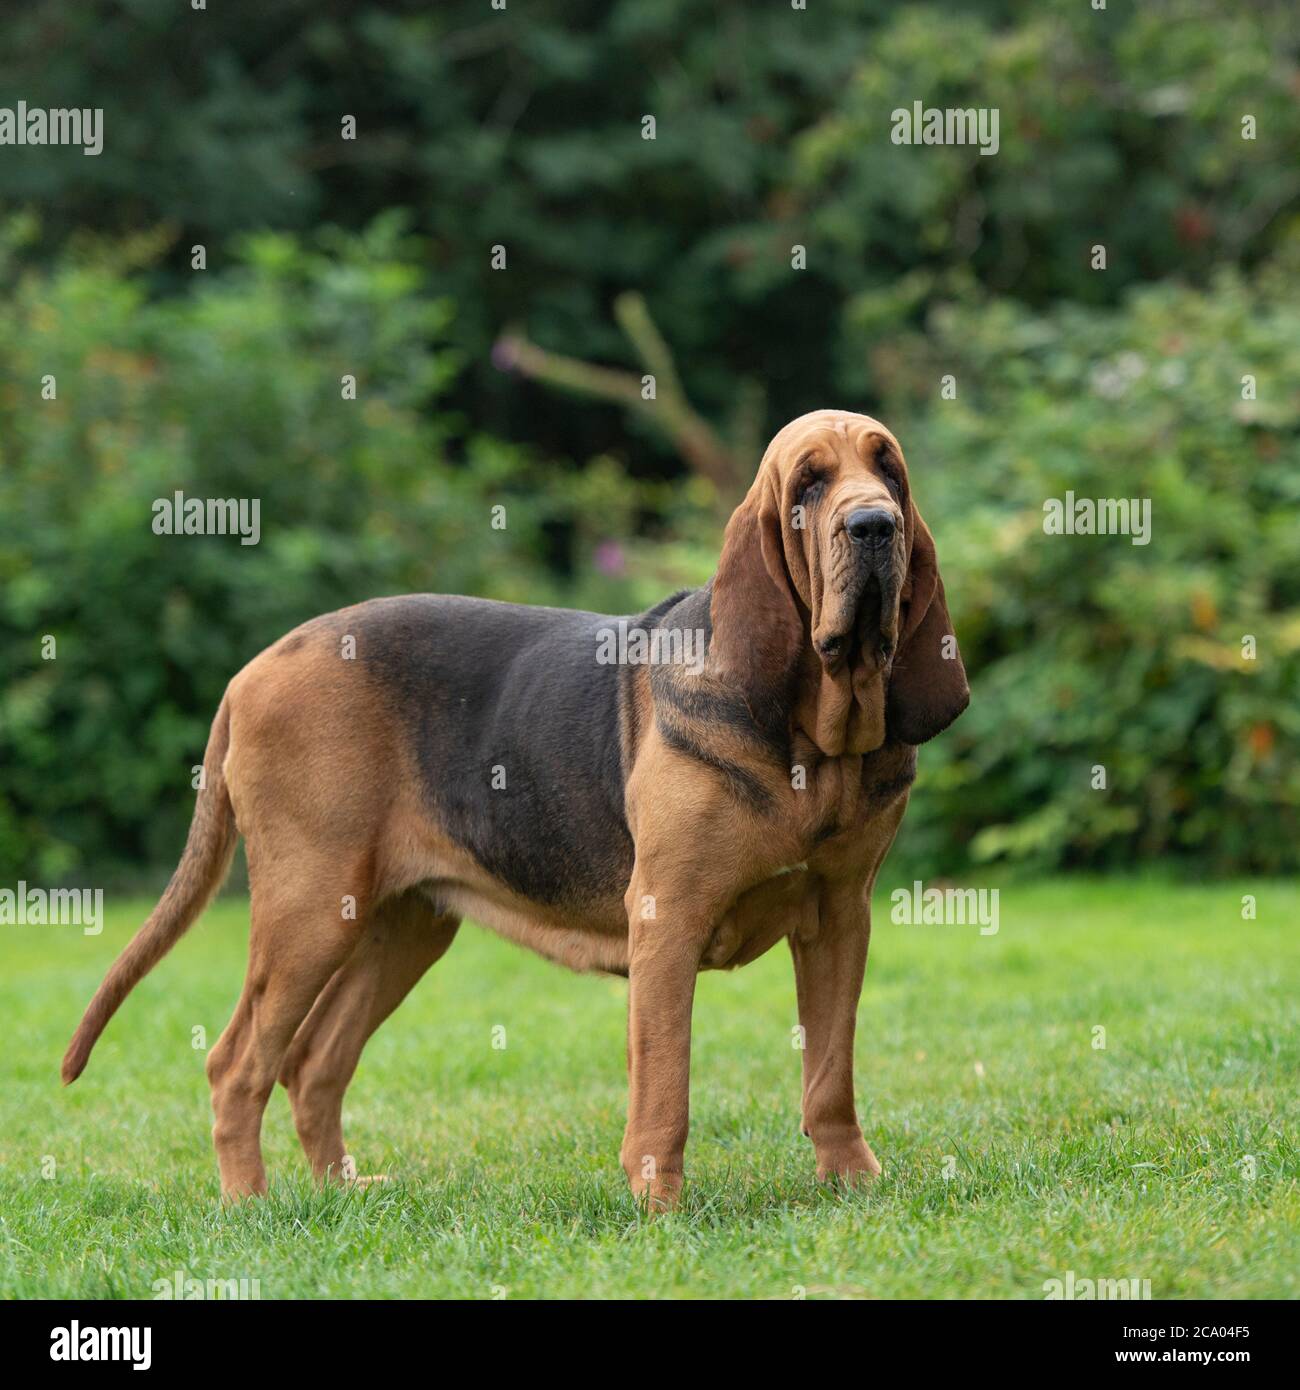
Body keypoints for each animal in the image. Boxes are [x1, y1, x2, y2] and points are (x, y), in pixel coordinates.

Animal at [66, 408, 973, 1206]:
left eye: (890, 472)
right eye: (809, 484)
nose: (875, 526)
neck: (817, 750)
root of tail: (252, 670)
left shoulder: (839, 917)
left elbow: (830, 1074)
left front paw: (852, 1184)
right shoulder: (667, 920)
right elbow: (665, 1090)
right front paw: (659, 1206)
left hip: (401, 926)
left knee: (313, 1063)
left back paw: (340, 1192)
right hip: (309, 913)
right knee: (238, 1065)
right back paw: (250, 1204)